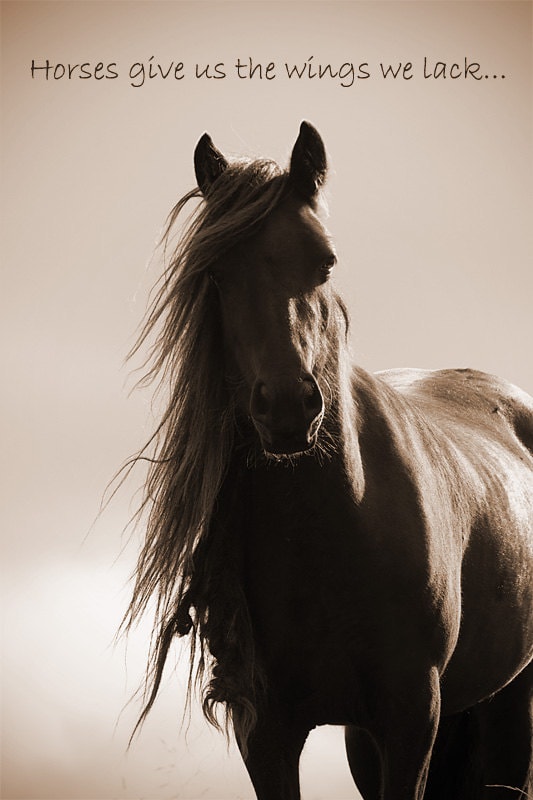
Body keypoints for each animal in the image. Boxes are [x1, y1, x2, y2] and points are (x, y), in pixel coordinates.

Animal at [125, 122, 533, 799]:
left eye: (326, 261)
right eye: (217, 273)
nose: (288, 405)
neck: (333, 531)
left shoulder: (411, 717)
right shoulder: (266, 733)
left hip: (508, 705)